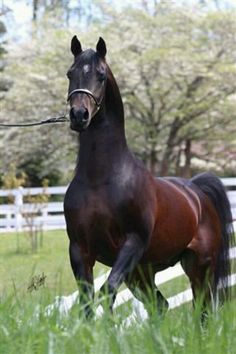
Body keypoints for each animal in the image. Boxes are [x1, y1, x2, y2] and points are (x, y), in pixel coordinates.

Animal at [63, 36, 235, 320]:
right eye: (70, 73)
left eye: (101, 75)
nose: (79, 115)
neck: (101, 179)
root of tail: (197, 192)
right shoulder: (80, 249)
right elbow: (87, 300)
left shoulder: (132, 243)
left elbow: (108, 290)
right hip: (142, 273)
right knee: (161, 306)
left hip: (200, 265)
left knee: (202, 308)